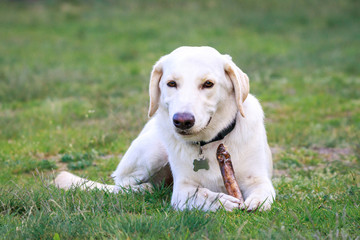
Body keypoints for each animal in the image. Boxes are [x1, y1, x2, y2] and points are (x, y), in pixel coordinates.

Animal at [54, 46, 276, 211]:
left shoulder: (258, 179)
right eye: (171, 83)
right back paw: (143, 189)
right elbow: (203, 194)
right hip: (153, 151)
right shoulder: (183, 191)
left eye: (208, 84)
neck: (208, 144)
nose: (182, 121)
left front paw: (255, 202)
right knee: (121, 184)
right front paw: (222, 201)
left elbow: (263, 193)